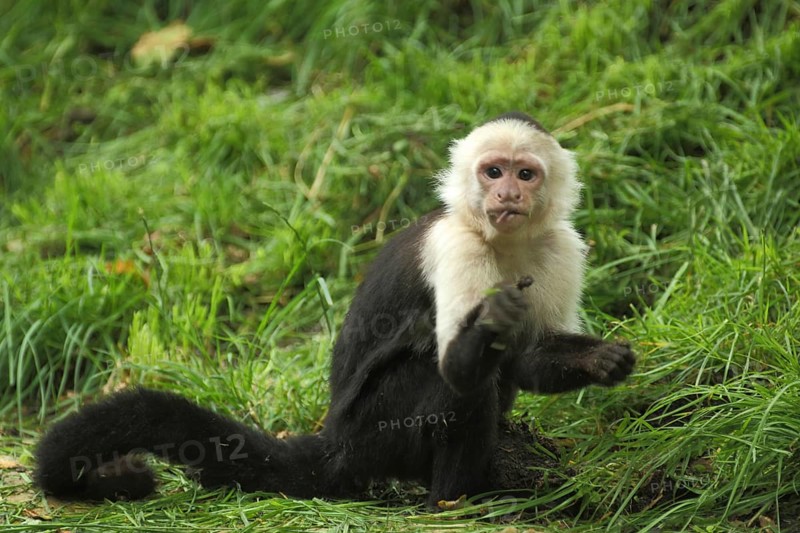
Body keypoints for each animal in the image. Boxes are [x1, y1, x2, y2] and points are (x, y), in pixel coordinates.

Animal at [34, 111, 635, 508]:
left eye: (525, 174)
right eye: (493, 172)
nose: (507, 195)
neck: (501, 242)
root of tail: (337, 444)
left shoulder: (561, 246)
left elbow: (530, 356)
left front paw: (598, 361)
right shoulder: (456, 247)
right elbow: (456, 370)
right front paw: (497, 314)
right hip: (376, 433)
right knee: (448, 383)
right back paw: (452, 502)